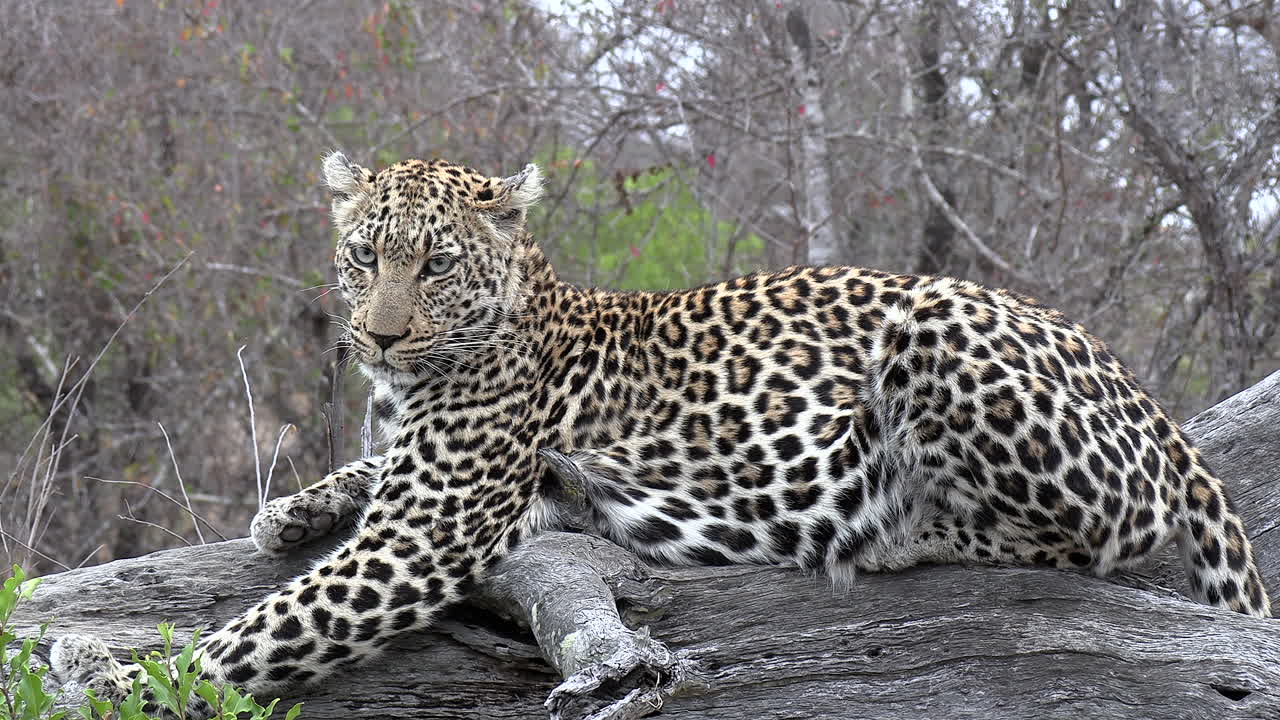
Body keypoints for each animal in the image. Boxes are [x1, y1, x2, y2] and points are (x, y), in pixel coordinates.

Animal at [51, 151, 1272, 716]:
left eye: (433, 264)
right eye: (363, 255)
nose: (379, 335)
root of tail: (1134, 382)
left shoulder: (424, 535)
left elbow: (253, 638)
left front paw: (106, 676)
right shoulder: (412, 479)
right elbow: (360, 475)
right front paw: (292, 507)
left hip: (938, 327)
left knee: (1101, 529)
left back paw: (884, 524)